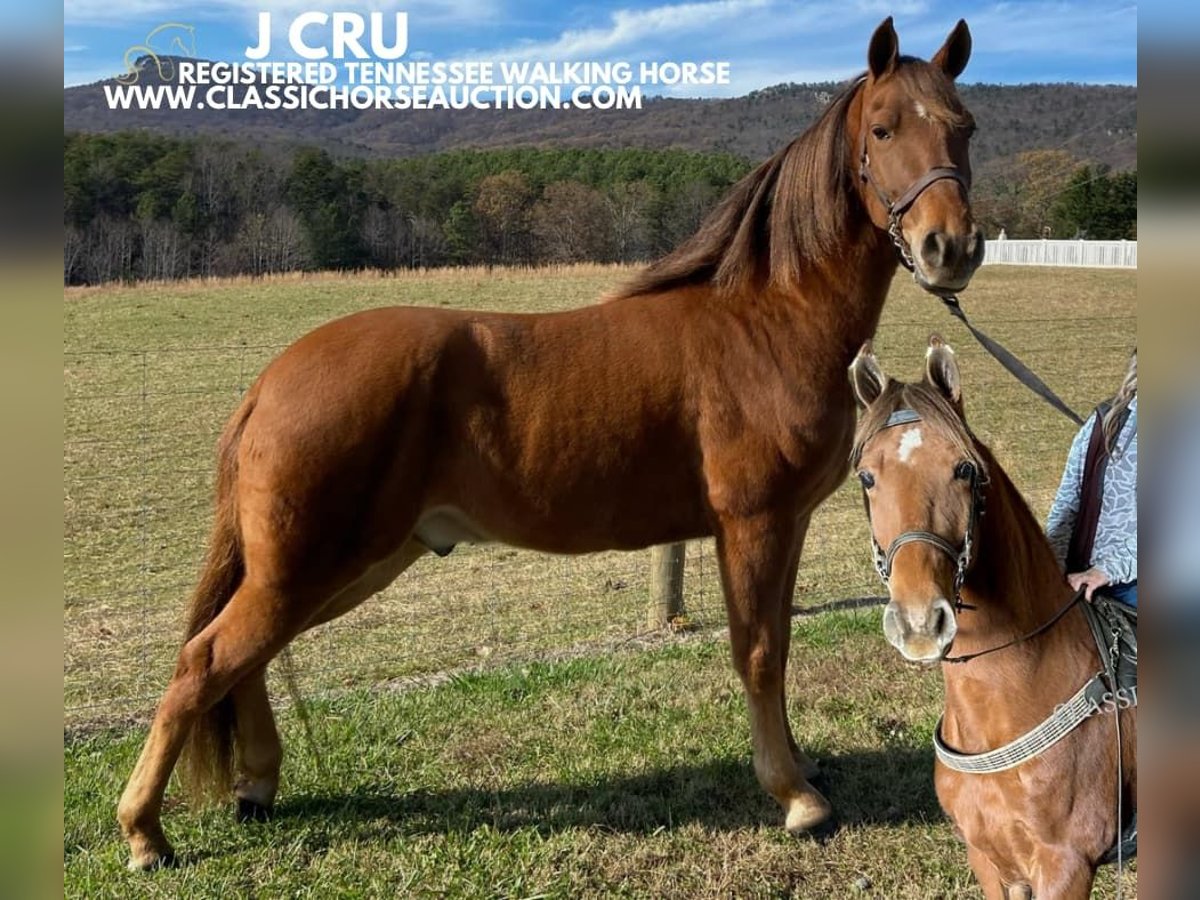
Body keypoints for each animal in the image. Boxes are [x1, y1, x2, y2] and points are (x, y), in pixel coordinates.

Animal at [119, 17, 984, 868]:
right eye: (883, 127)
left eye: (964, 126)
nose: (951, 247)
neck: (764, 320)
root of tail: (271, 380)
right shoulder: (752, 523)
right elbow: (760, 651)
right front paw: (796, 799)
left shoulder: (789, 525)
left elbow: (779, 644)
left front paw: (801, 767)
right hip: (310, 566)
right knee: (205, 660)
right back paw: (145, 833)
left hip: (340, 565)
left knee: (247, 658)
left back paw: (256, 788)